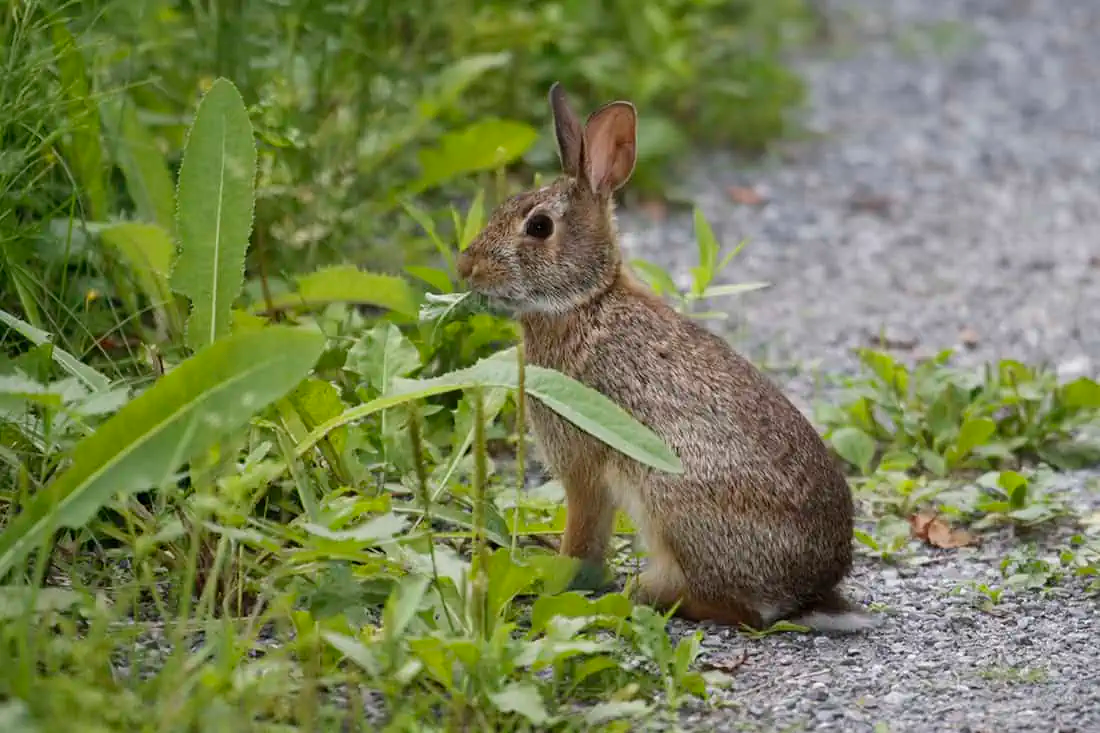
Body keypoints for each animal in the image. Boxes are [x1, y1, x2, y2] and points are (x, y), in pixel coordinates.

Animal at [455, 78, 875, 629]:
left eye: (539, 227)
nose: (466, 267)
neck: (587, 301)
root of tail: (810, 593)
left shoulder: (583, 465)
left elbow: (583, 534)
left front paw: (555, 576)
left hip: (670, 497)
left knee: (740, 608)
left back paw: (647, 591)